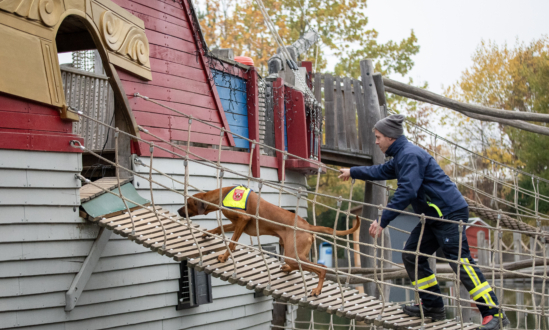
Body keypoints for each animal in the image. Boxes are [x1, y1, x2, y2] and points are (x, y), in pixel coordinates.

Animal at [178, 186, 362, 296]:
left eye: (187, 204)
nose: (179, 211)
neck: (222, 194)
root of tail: (307, 226)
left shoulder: (243, 220)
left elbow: (232, 242)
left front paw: (224, 257)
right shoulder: (238, 223)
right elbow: (219, 227)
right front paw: (207, 234)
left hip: (292, 253)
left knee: (321, 268)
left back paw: (317, 290)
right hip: (292, 251)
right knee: (301, 265)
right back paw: (288, 269)